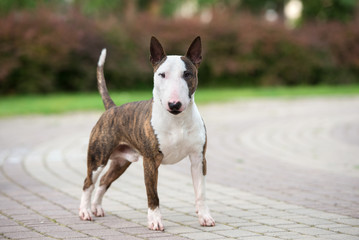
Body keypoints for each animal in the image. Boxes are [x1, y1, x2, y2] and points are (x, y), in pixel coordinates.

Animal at [79, 36, 214, 231]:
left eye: (187, 74)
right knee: (88, 182)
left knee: (104, 180)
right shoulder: (150, 161)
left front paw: (205, 217)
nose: (174, 104)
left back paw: (97, 208)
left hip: (121, 162)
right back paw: (85, 212)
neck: (177, 121)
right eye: (162, 74)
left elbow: (201, 192)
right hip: (98, 158)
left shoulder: (198, 159)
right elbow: (153, 194)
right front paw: (155, 221)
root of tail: (112, 108)